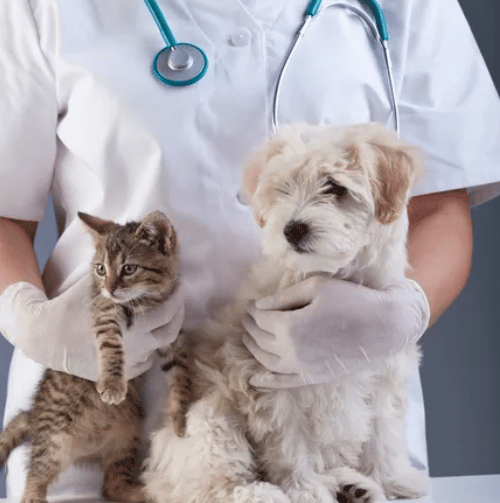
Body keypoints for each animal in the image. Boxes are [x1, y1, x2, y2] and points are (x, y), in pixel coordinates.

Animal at [0, 212, 184, 503]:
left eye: (129, 269)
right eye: (100, 269)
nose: (109, 288)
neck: (145, 303)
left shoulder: (171, 337)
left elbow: (180, 373)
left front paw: (179, 416)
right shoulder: (104, 312)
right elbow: (111, 347)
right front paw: (112, 384)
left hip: (126, 439)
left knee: (111, 487)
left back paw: (147, 490)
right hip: (55, 441)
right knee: (35, 476)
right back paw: (34, 494)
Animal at [144, 123, 430, 503]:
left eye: (335, 188)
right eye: (282, 189)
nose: (292, 229)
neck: (327, 277)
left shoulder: (386, 371)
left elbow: (384, 434)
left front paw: (392, 478)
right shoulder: (269, 384)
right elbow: (289, 445)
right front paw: (305, 489)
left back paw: (355, 486)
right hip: (208, 417)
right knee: (208, 486)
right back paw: (264, 494)